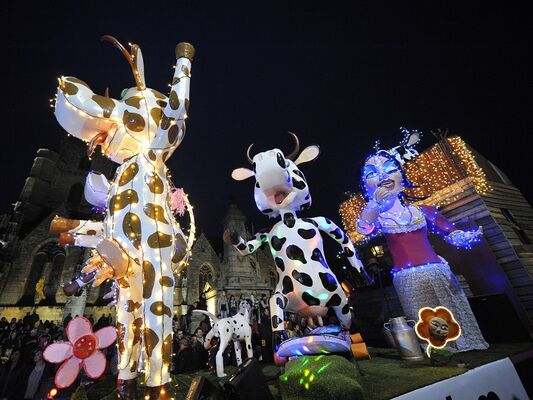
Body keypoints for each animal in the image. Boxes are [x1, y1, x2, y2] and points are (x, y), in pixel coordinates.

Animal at [222, 133, 364, 342]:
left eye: (288, 163)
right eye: (254, 170)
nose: (266, 158)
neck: (288, 218)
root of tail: (312, 308)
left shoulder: (319, 221)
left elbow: (342, 238)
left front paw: (361, 274)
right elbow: (247, 247)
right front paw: (231, 236)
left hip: (340, 300)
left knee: (345, 319)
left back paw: (342, 333)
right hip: (287, 297)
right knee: (277, 306)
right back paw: (283, 335)